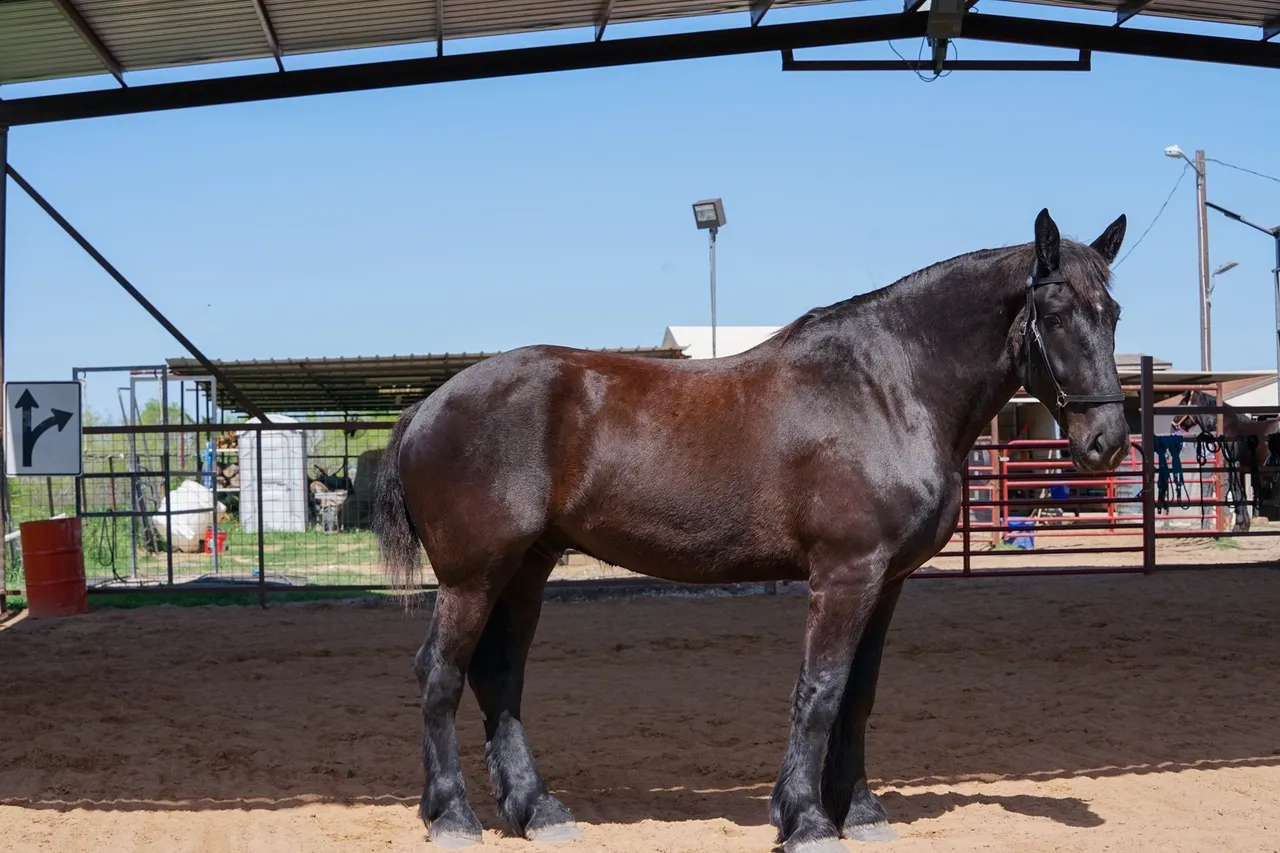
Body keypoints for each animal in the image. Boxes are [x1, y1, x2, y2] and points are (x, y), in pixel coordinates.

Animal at [372, 208, 1131, 852]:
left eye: (1114, 312)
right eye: (1055, 312)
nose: (1107, 442)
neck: (888, 388)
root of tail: (424, 408)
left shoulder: (885, 582)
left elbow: (858, 694)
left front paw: (861, 812)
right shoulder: (845, 574)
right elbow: (820, 692)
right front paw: (807, 820)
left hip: (525, 568)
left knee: (498, 676)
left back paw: (539, 812)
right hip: (472, 577)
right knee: (440, 673)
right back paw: (453, 817)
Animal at [1172, 389, 1280, 532]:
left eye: (1182, 403)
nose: (1173, 423)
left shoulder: (1233, 466)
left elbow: (1237, 493)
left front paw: (1239, 526)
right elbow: (1241, 493)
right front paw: (1243, 526)